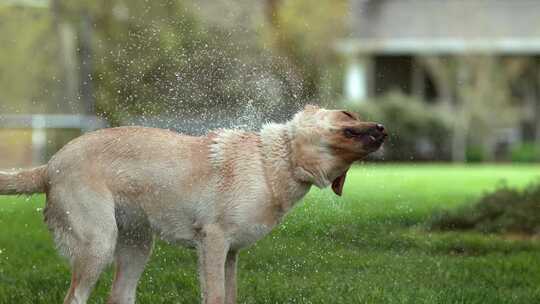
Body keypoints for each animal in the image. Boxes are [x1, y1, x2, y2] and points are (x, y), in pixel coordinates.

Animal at [0, 105, 388, 304]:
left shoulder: (231, 254)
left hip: (137, 246)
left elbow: (230, 297)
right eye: (348, 116)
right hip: (98, 244)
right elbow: (214, 296)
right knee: (75, 298)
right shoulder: (213, 242)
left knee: (118, 295)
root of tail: (50, 166)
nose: (384, 128)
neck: (275, 163)